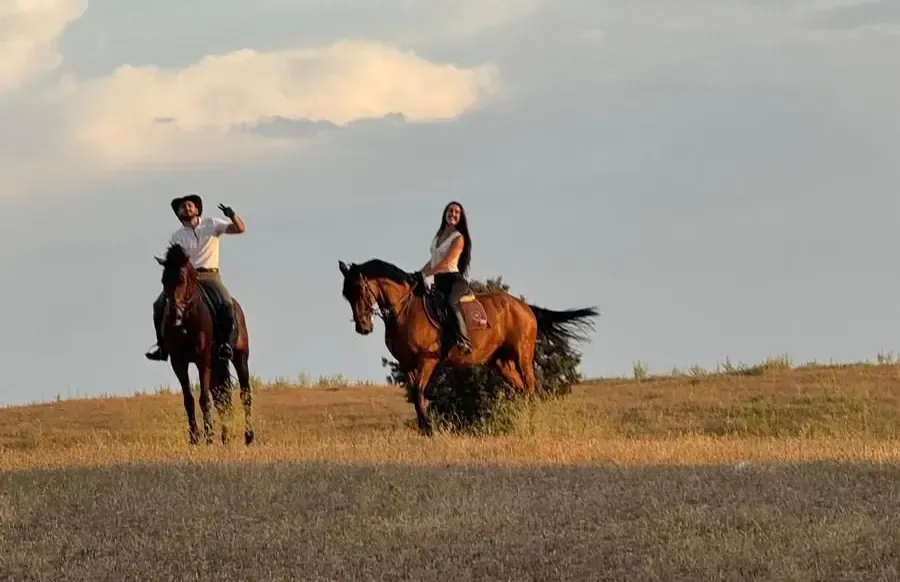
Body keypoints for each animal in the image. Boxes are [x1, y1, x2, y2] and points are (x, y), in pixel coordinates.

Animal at [155, 243, 254, 445]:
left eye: (182, 279)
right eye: (163, 280)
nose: (174, 316)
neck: (186, 321)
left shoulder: (203, 360)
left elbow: (204, 398)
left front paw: (208, 437)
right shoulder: (178, 363)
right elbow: (189, 400)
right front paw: (194, 438)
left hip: (240, 357)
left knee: (244, 394)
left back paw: (248, 436)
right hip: (217, 364)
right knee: (223, 398)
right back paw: (225, 437)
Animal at [338, 258, 599, 435]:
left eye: (360, 289)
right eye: (346, 294)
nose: (363, 327)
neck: (406, 310)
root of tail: (524, 307)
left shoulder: (428, 360)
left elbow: (420, 392)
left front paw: (430, 430)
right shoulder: (406, 363)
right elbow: (414, 395)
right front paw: (424, 429)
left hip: (522, 355)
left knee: (531, 387)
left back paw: (531, 423)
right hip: (501, 362)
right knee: (520, 389)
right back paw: (518, 421)